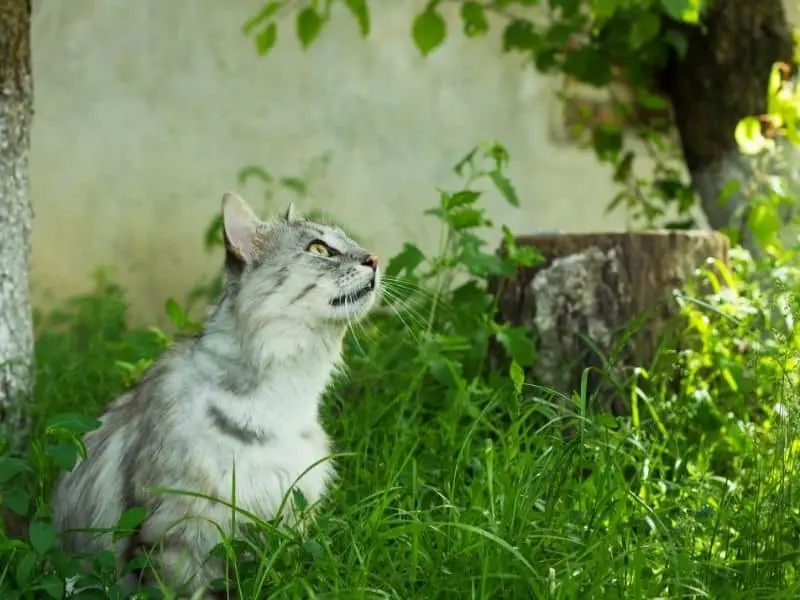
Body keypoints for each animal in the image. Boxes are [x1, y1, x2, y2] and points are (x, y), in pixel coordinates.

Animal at [51, 192, 382, 596]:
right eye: (319, 249)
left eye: (349, 240)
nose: (374, 258)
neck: (286, 403)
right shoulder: (177, 534)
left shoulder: (284, 521)